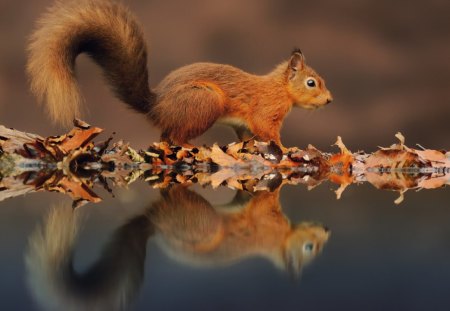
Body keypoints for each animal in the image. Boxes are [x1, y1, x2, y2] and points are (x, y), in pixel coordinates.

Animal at [27, 0, 330, 147]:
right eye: (311, 83)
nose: (329, 101)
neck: (280, 88)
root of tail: (157, 107)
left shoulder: (245, 125)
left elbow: (248, 135)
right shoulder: (266, 112)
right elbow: (268, 131)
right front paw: (286, 149)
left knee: (165, 136)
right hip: (204, 102)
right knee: (176, 137)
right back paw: (190, 147)